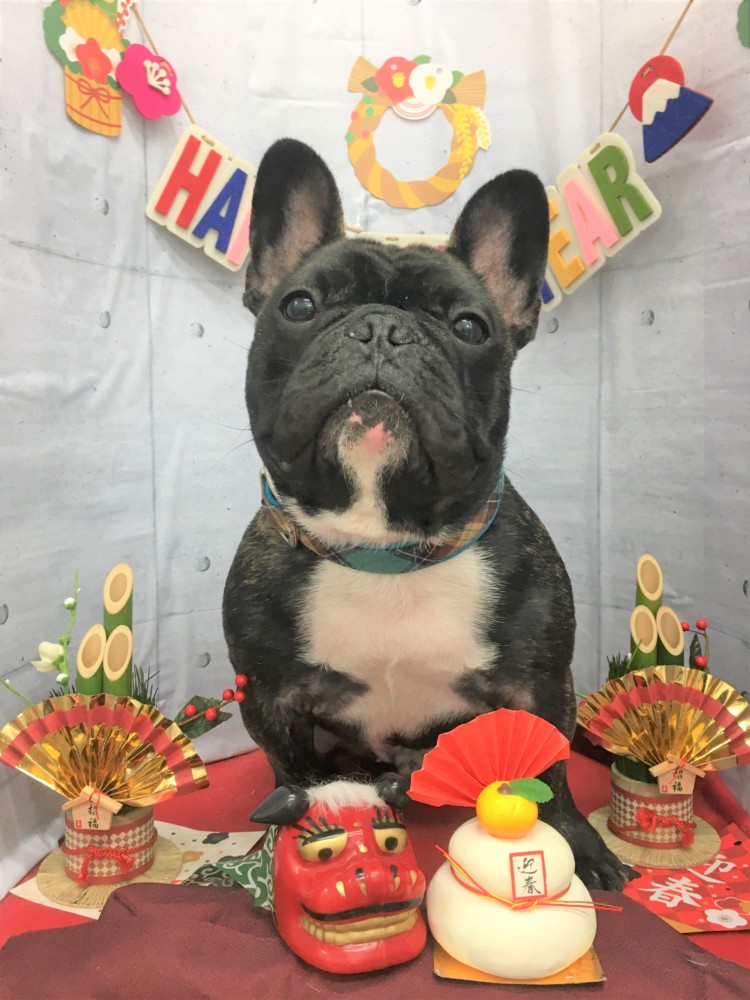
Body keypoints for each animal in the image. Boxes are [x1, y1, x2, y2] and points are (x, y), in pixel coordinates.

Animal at [223, 139, 632, 890]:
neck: (383, 546)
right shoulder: (271, 697)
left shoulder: (540, 686)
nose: (382, 327)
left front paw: (581, 848)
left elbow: (555, 775)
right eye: (299, 305)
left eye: (469, 326)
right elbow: (293, 769)